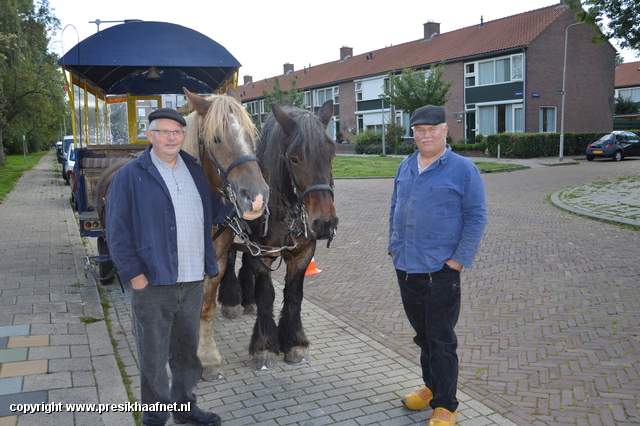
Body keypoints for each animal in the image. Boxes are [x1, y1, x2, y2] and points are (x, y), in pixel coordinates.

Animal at [218, 100, 340, 370]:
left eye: (331, 154)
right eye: (294, 158)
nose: (325, 222)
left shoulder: (303, 252)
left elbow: (293, 295)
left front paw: (294, 342)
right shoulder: (261, 252)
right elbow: (267, 295)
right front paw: (264, 346)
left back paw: (246, 299)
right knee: (230, 257)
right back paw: (232, 300)